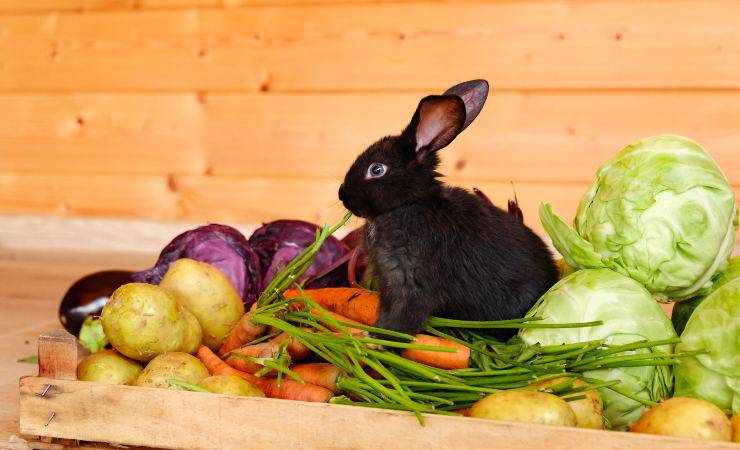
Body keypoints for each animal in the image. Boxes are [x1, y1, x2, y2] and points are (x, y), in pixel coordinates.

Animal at [338, 80, 556, 338]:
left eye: (377, 170)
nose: (341, 194)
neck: (407, 205)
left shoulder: (411, 286)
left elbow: (402, 321)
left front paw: (384, 341)